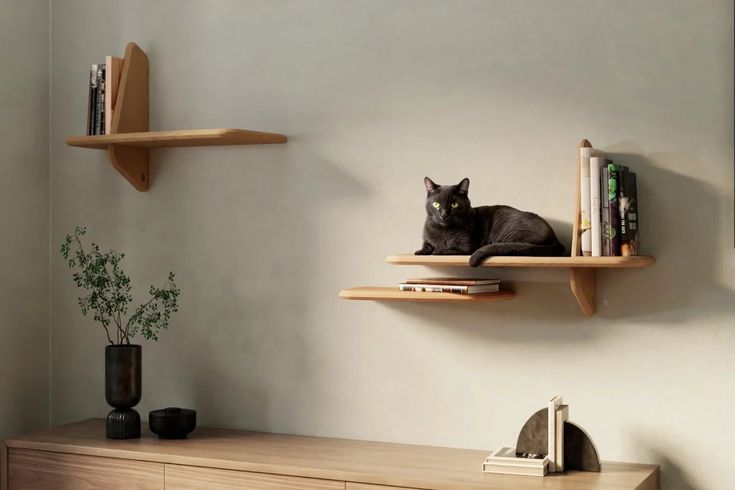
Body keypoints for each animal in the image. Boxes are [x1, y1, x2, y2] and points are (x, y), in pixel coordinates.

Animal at [416, 178, 568, 266]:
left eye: (454, 204)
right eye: (436, 204)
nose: (444, 215)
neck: (443, 230)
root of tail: (555, 238)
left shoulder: (466, 247)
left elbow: (451, 249)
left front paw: (438, 250)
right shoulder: (427, 238)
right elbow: (426, 245)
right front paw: (421, 251)